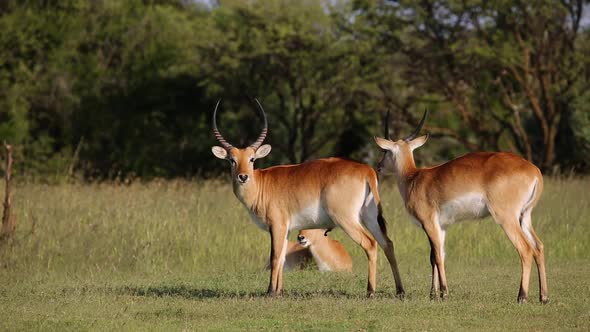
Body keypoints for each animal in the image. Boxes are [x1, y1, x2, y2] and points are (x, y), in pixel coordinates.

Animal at [212, 99, 408, 298]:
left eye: (252, 159)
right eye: (232, 160)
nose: (243, 176)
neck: (262, 185)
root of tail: (366, 170)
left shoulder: (277, 225)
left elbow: (275, 256)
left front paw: (270, 292)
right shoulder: (287, 229)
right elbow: (281, 258)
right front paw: (279, 291)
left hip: (346, 219)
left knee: (370, 244)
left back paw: (370, 292)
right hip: (370, 217)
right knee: (387, 243)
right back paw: (400, 291)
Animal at [374, 109, 552, 304]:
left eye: (385, 151)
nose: (379, 166)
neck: (413, 178)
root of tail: (534, 171)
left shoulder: (429, 223)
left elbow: (437, 256)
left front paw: (444, 293)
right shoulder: (442, 226)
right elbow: (436, 256)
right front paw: (433, 293)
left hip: (506, 218)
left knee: (526, 249)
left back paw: (522, 296)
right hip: (524, 216)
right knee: (539, 247)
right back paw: (543, 297)